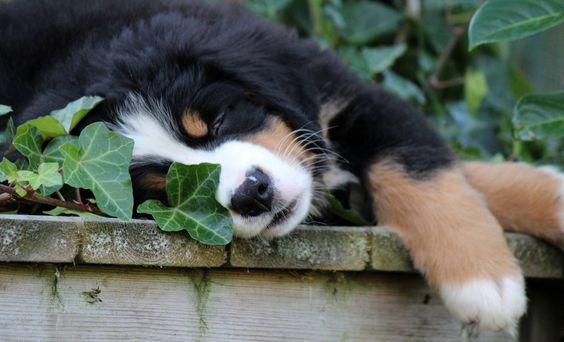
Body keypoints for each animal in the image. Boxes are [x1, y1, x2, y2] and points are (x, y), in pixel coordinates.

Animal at [1, 0, 564, 334]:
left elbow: (424, 167)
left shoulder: (341, 94)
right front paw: (486, 283)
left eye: (216, 118)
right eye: (161, 188)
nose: (253, 193)